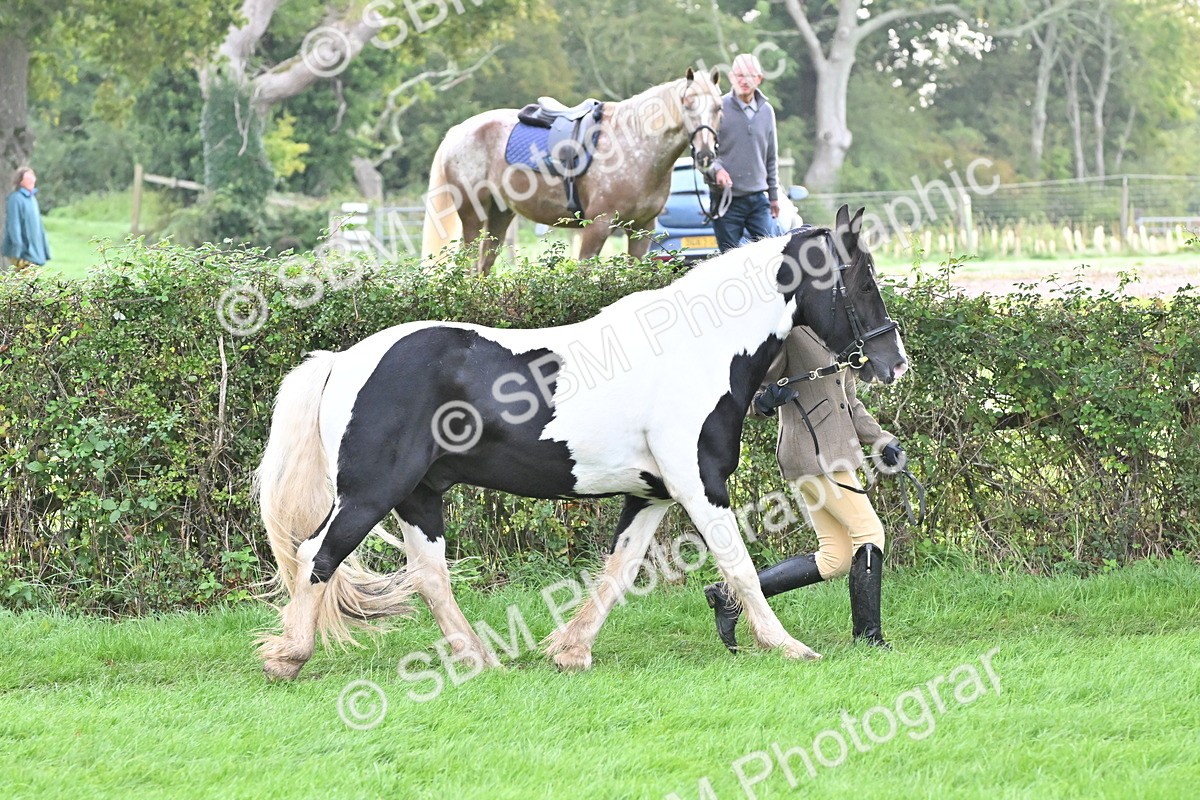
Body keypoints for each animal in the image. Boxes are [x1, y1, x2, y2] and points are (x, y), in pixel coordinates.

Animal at [256, 205, 908, 680]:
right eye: (862, 280)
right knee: (317, 555)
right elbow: (738, 563)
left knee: (429, 576)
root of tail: (343, 362)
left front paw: (571, 650)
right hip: (371, 493)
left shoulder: (652, 494)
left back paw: (479, 660)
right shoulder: (699, 484)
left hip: (420, 496)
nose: (893, 361)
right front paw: (786, 645)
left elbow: (620, 571)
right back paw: (288, 657)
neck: (697, 350)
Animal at [420, 68, 722, 275]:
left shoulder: (641, 229)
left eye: (718, 107)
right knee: (469, 268)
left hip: (499, 215)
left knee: (483, 267)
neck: (636, 144)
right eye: (687, 104)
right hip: (472, 215)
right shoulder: (597, 226)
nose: (706, 155)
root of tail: (458, 131)